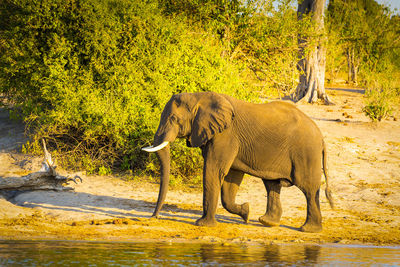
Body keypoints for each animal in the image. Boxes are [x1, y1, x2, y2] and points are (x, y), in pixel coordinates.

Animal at [142, 91, 332, 232]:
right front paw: (246, 212)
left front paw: (202, 225)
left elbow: (213, 170)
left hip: (306, 153)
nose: (153, 217)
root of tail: (322, 138)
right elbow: (230, 177)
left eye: (174, 119)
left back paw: (308, 229)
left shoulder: (225, 135)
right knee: (272, 184)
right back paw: (267, 222)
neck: (199, 97)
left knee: (308, 188)